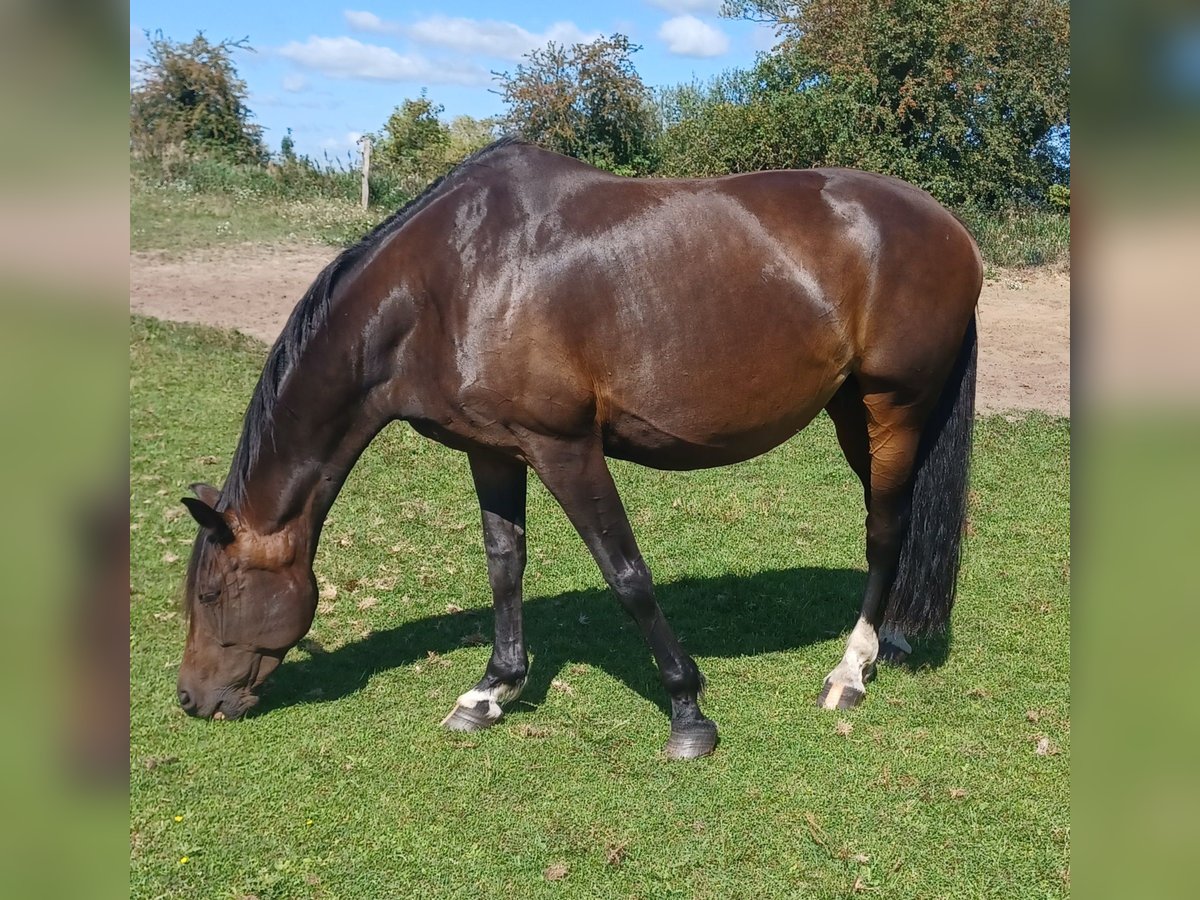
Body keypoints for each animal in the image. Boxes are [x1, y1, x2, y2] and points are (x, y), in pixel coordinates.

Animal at [180, 139, 984, 763]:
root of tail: (952, 229)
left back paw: (850, 671)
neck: (450, 281)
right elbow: (504, 564)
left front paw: (688, 712)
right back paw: (890, 641)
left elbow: (625, 572)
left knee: (885, 529)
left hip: (893, 408)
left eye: (212, 594)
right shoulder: (493, 451)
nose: (191, 699)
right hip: (853, 412)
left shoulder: (564, 448)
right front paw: (492, 690)